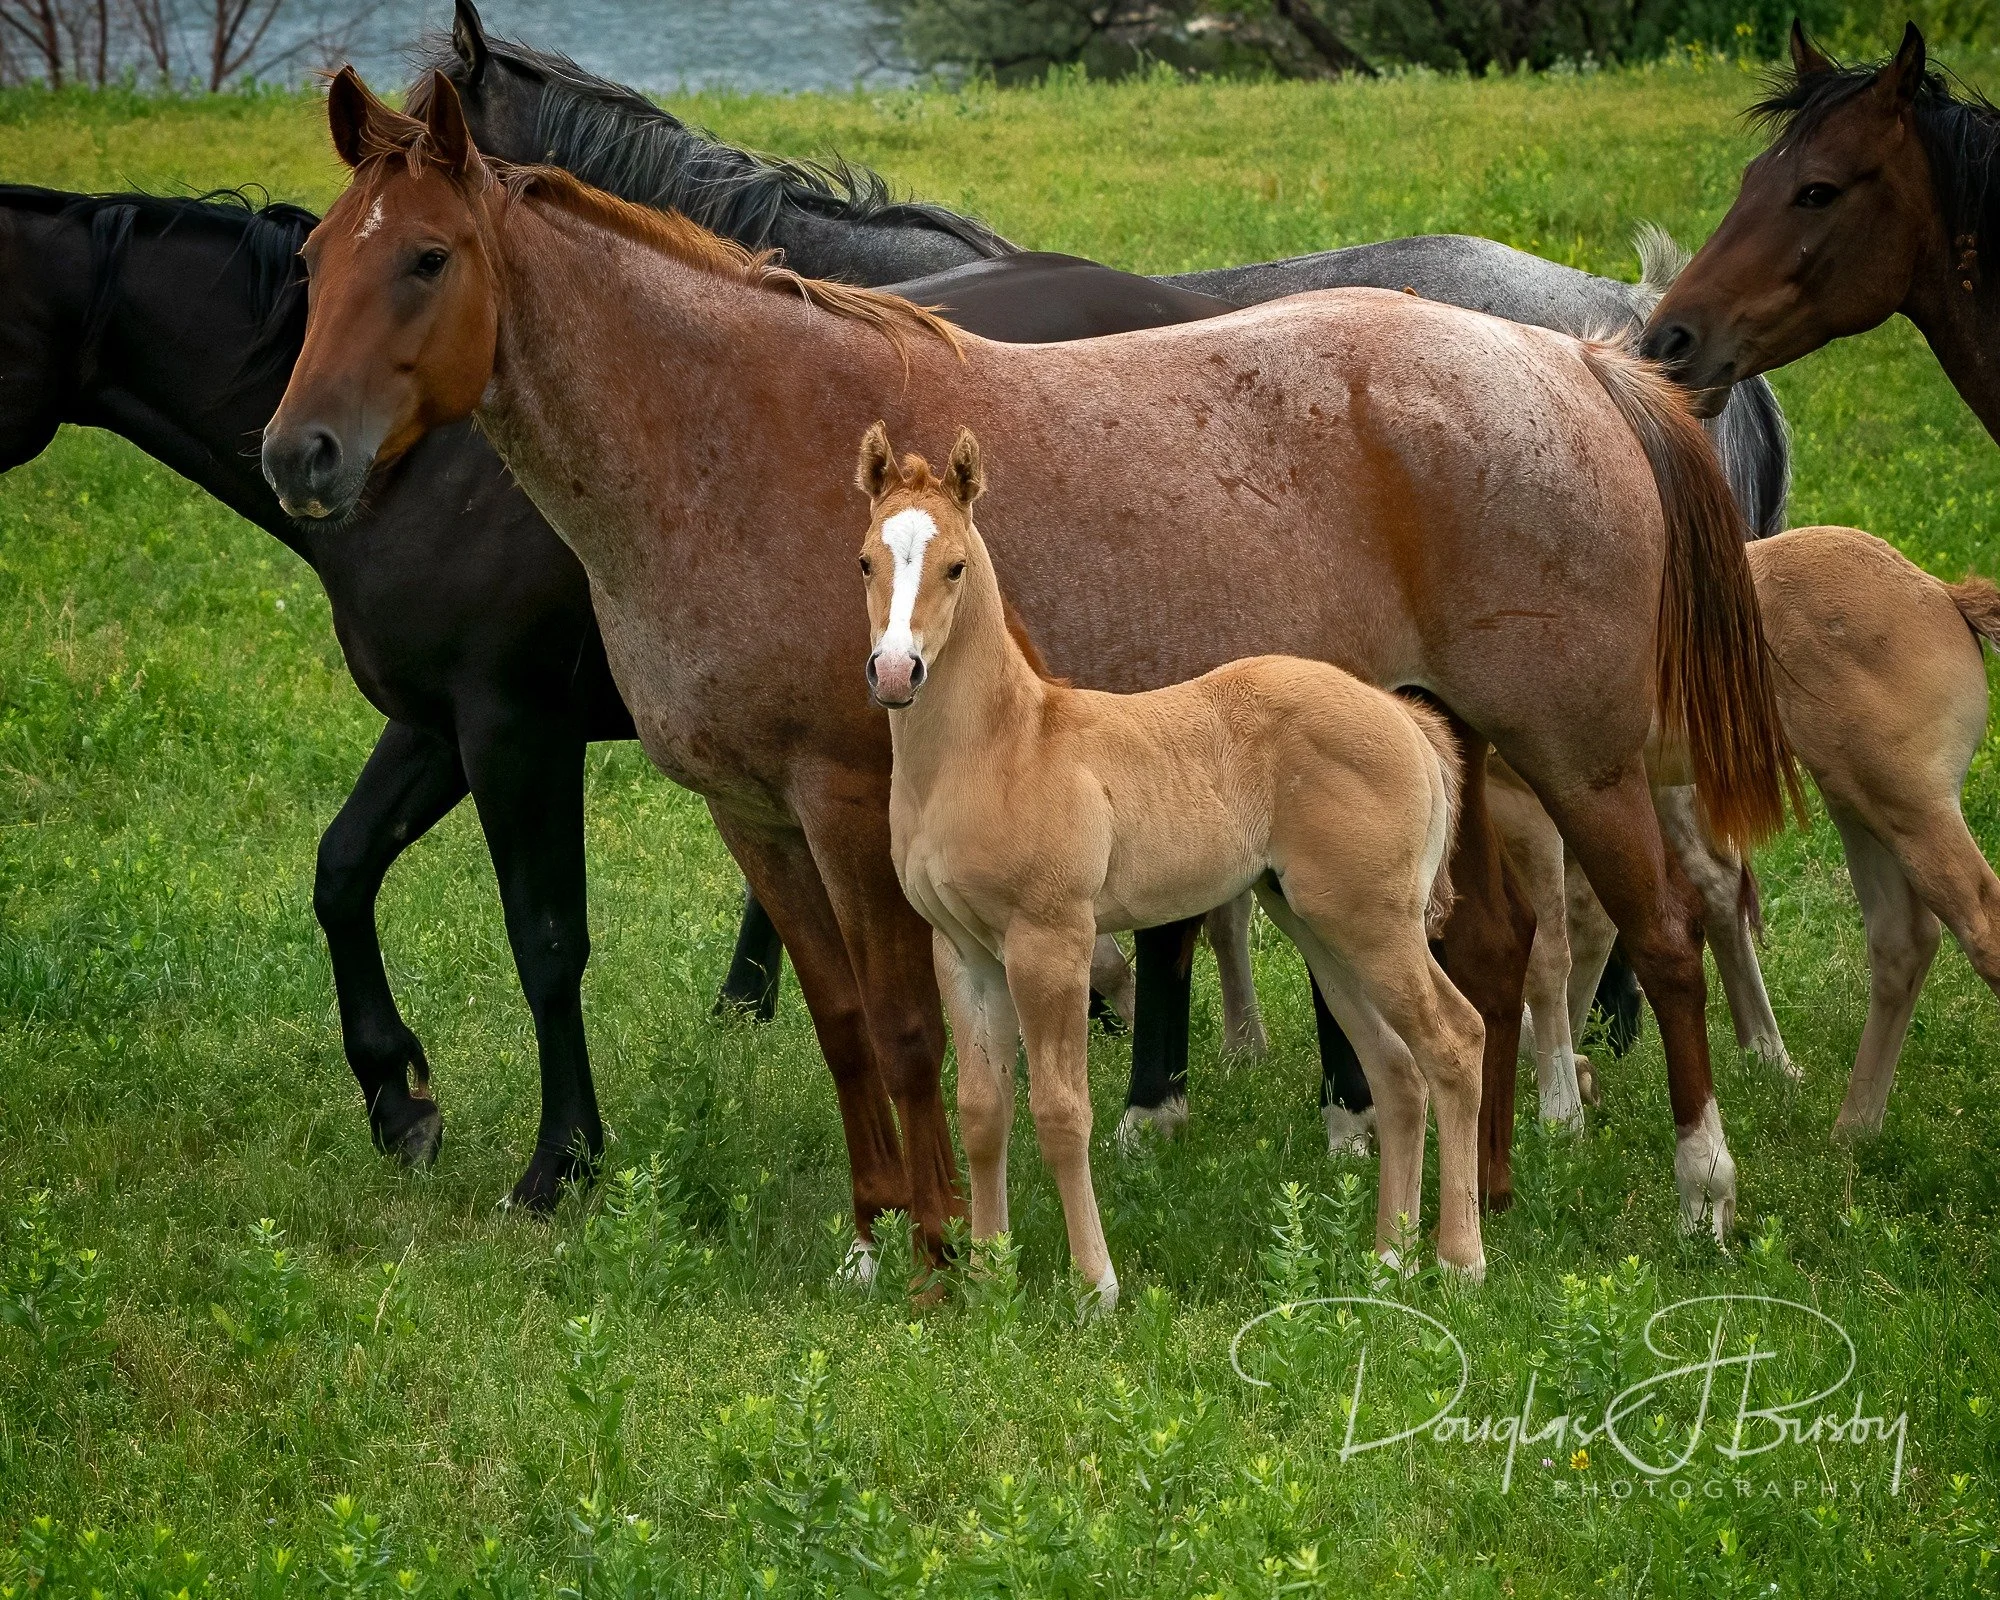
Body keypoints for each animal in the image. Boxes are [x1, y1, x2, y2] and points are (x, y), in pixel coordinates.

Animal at [0, 181, 1270, 1217]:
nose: (301, 460)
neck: (435, 465)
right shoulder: (433, 724)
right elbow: (341, 868)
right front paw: (398, 1100)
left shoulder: (509, 728)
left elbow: (545, 938)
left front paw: (562, 1160)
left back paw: (1147, 1092)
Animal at [859, 424, 1481, 1297]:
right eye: (865, 562)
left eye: (954, 566)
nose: (894, 671)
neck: (996, 748)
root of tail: (1401, 715)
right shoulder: (966, 953)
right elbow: (983, 1113)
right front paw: (990, 1279)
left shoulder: (1050, 942)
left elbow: (1061, 1112)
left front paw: (1095, 1286)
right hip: (1318, 923)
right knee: (1397, 1071)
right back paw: (1388, 1259)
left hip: (1376, 924)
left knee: (1455, 1044)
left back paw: (1460, 1262)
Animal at [1498, 526, 2000, 1139]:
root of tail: (1945, 595)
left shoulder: (1529, 798)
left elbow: (1548, 948)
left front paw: (1558, 1112)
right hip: (1858, 804)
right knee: (1901, 940)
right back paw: (1850, 1133)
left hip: (1910, 809)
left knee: (1980, 925)